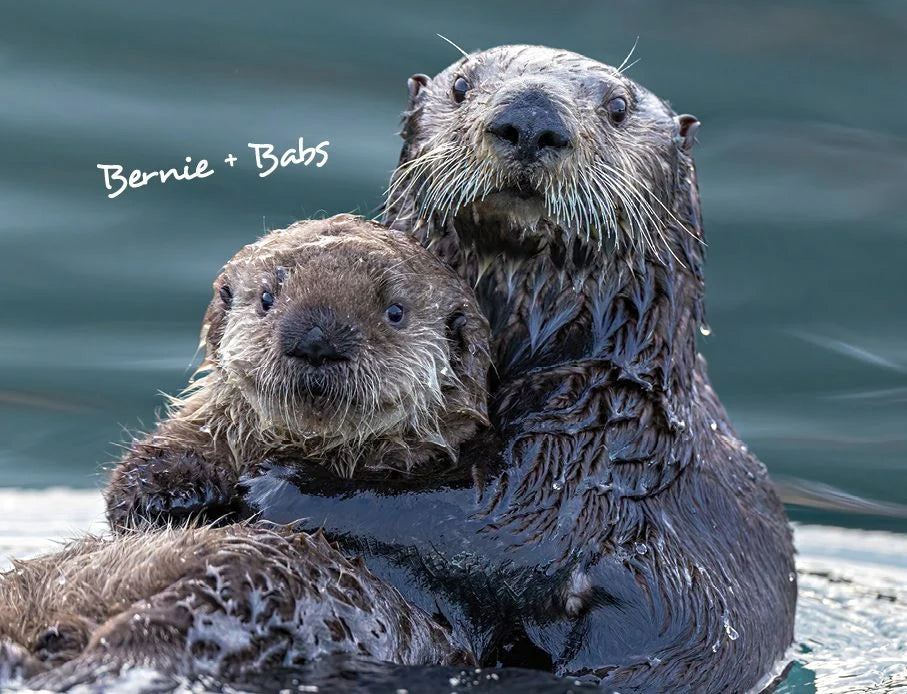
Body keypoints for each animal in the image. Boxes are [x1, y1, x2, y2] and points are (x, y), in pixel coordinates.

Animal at [244, 45, 796, 692]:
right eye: (461, 85)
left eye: (618, 106)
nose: (531, 119)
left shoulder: (598, 442)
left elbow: (498, 525)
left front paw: (273, 481)